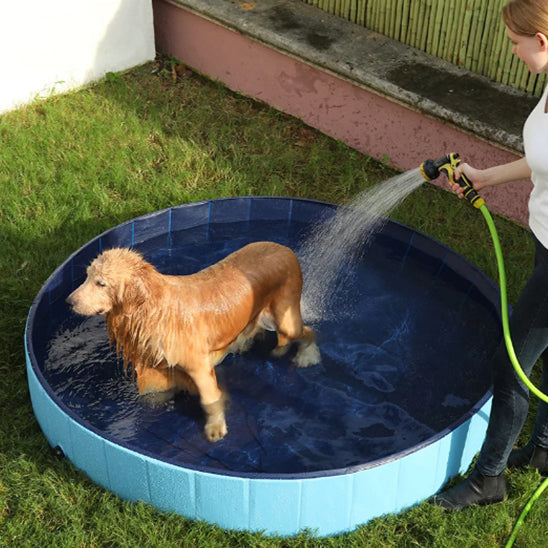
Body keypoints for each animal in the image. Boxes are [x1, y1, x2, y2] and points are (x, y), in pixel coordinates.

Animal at [66, 243, 318, 440]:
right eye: (87, 276)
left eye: (101, 283)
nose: (69, 301)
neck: (151, 307)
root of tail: (286, 249)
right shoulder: (157, 364)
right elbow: (155, 393)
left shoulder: (199, 366)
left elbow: (210, 399)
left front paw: (215, 429)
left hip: (285, 316)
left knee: (307, 331)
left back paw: (308, 356)